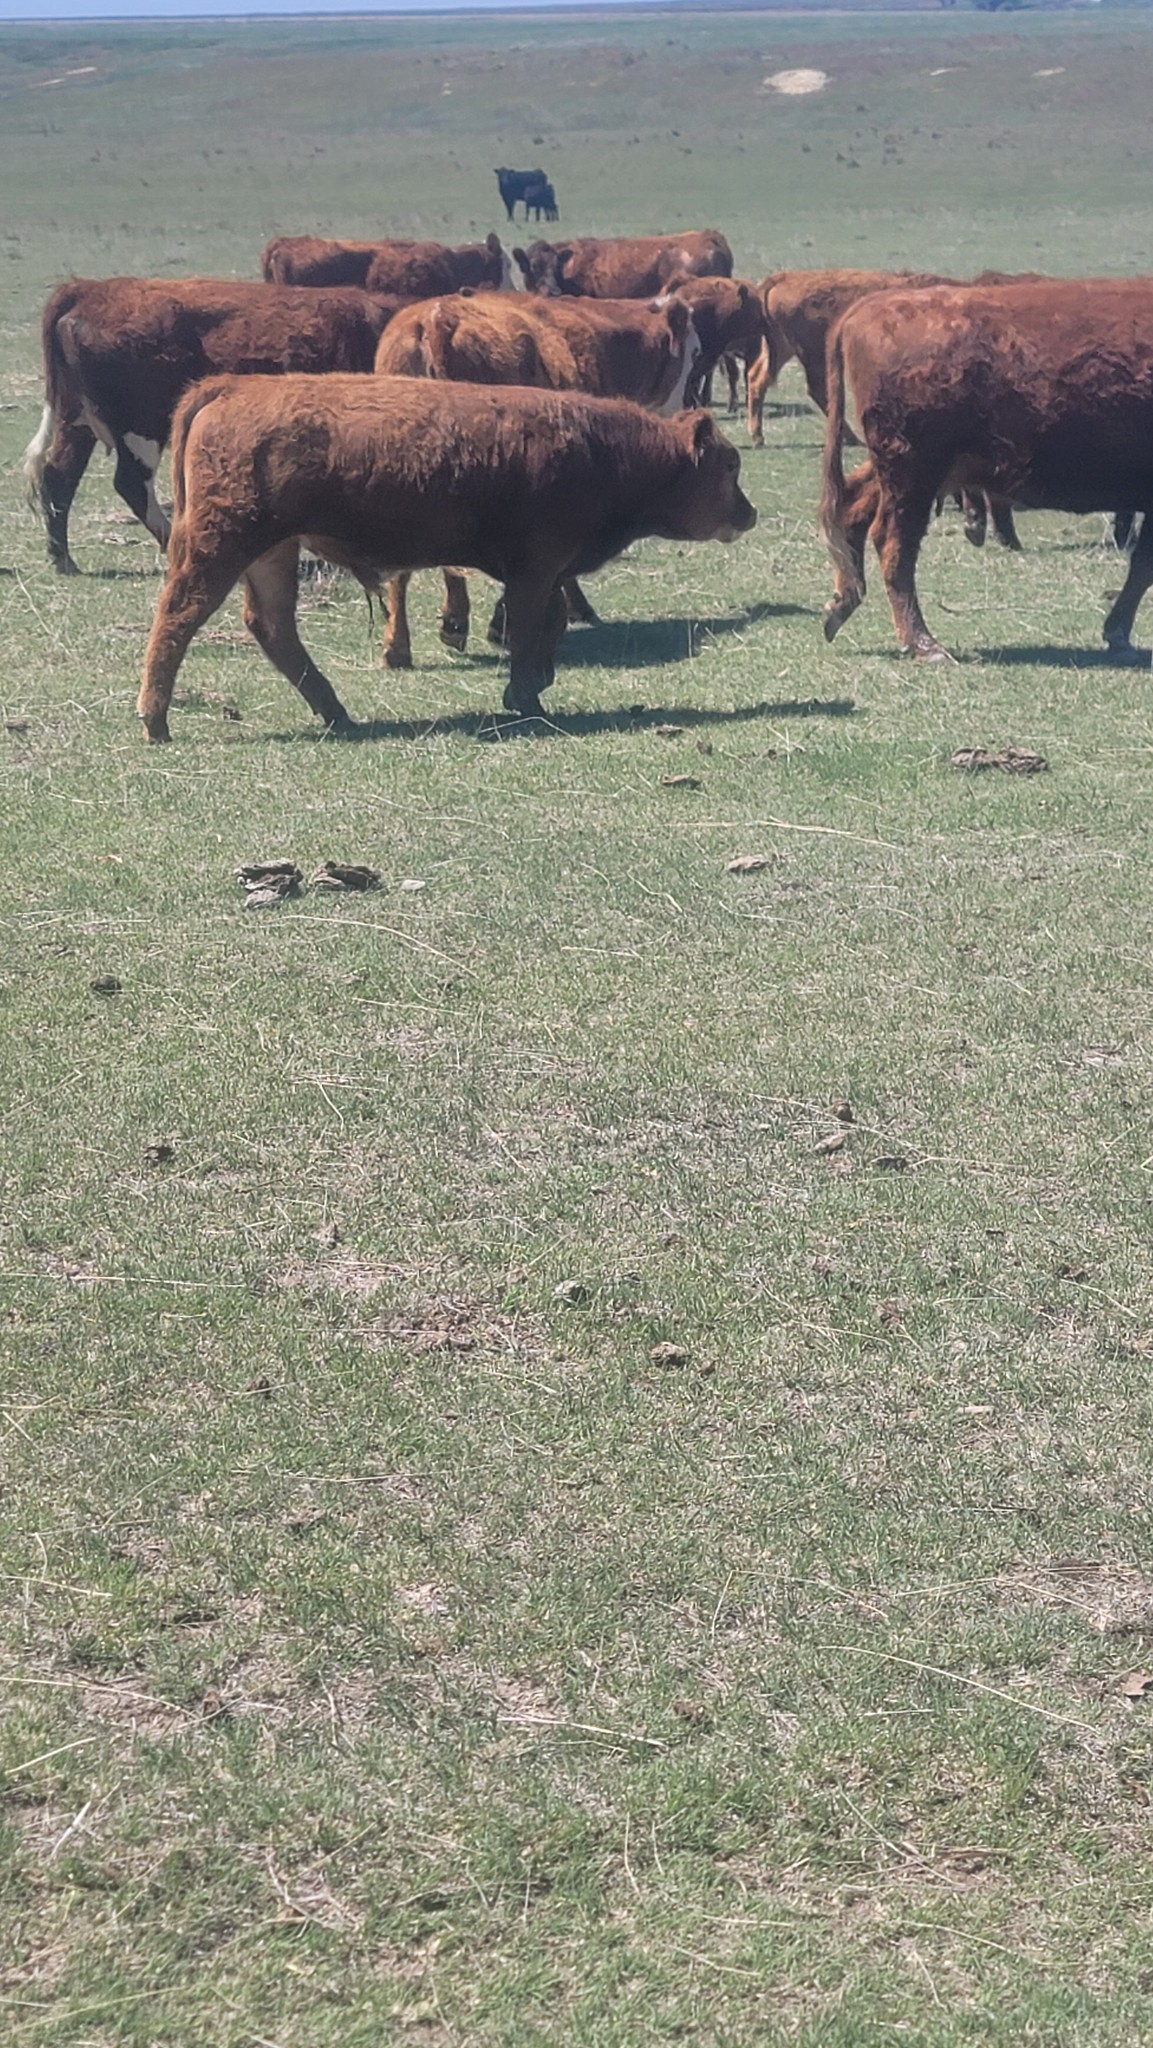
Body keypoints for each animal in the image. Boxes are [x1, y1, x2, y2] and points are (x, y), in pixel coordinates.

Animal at [22, 277, 408, 575]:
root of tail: (89, 288)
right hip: (142, 425)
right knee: (130, 483)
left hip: (76, 422)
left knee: (59, 477)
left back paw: (63, 559)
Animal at [137, 375, 756, 740]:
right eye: (729, 465)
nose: (748, 513)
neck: (602, 448)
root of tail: (232, 387)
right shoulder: (536, 569)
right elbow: (529, 628)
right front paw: (525, 694)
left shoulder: (547, 572)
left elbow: (551, 623)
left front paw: (538, 683)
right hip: (222, 546)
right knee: (178, 616)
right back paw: (155, 719)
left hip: (272, 552)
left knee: (271, 626)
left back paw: (336, 712)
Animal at [819, 278, 1153, 664]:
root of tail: (869, 308)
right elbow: (1144, 566)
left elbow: (1142, 566)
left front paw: (1118, 635)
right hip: (914, 472)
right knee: (892, 543)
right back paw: (925, 645)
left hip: (908, 469)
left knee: (852, 508)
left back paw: (840, 608)